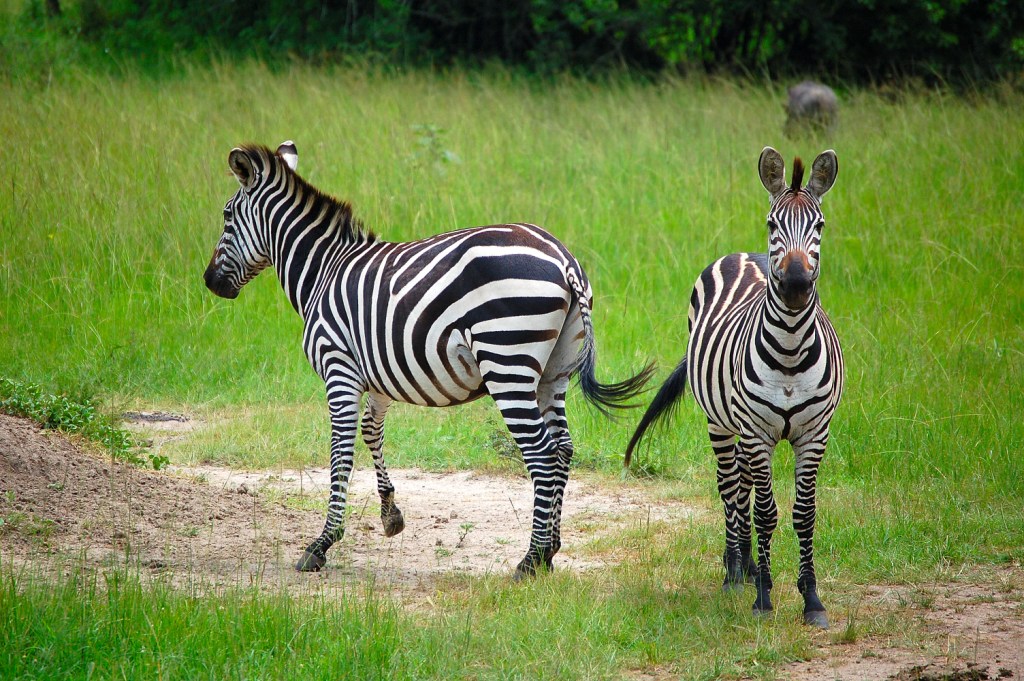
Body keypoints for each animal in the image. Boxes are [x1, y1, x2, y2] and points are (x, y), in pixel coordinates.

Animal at [200, 140, 651, 577]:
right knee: (562, 449)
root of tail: (564, 259)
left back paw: (530, 560)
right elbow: (371, 432)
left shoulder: (338, 366)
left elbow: (340, 451)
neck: (324, 272)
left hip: (507, 362)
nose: (209, 282)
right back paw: (551, 552)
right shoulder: (376, 375)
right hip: (552, 373)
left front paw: (321, 544)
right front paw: (390, 515)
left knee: (541, 453)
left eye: (226, 216)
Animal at [626, 147, 843, 626]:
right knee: (730, 486)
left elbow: (804, 514)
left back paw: (747, 565)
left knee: (742, 485)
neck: (790, 351)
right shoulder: (757, 432)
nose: (796, 285)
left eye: (819, 225)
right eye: (772, 224)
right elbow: (765, 512)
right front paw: (763, 597)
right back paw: (734, 571)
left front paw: (811, 598)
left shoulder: (814, 434)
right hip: (723, 423)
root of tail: (745, 254)